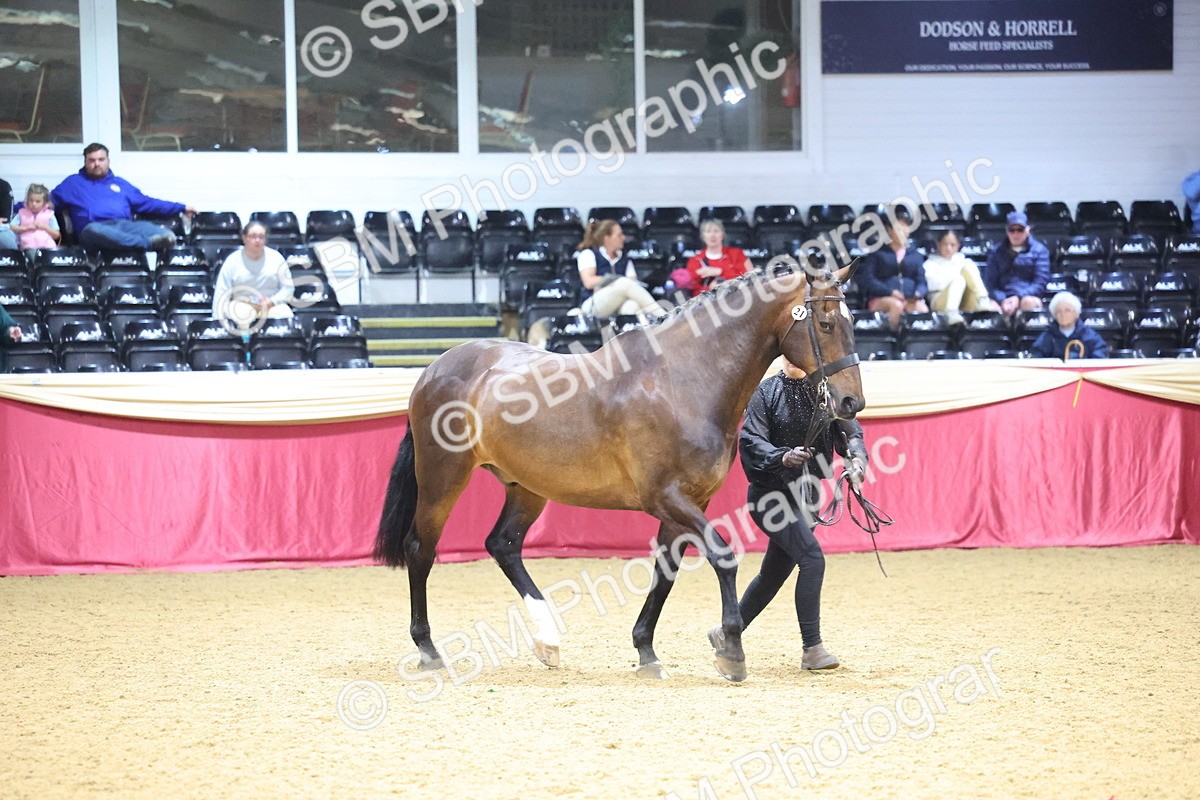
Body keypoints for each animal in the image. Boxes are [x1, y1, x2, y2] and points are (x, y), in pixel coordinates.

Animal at [374, 260, 865, 682]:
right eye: (825, 324)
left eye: (852, 322)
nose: (851, 402)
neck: (682, 380)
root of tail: (434, 369)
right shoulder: (667, 498)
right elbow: (723, 557)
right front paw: (731, 651)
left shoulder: (690, 503)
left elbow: (665, 572)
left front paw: (647, 651)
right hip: (442, 478)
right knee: (421, 549)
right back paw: (429, 650)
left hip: (526, 486)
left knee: (503, 545)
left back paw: (548, 642)